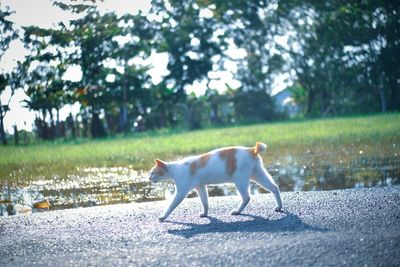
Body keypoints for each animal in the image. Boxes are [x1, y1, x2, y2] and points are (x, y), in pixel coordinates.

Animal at [148, 142, 282, 222]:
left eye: (152, 173)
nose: (148, 178)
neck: (174, 168)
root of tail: (251, 149)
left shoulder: (181, 192)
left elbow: (171, 205)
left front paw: (163, 216)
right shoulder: (201, 187)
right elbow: (205, 202)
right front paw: (205, 214)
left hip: (240, 180)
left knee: (246, 197)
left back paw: (237, 211)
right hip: (258, 175)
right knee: (274, 187)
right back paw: (279, 207)